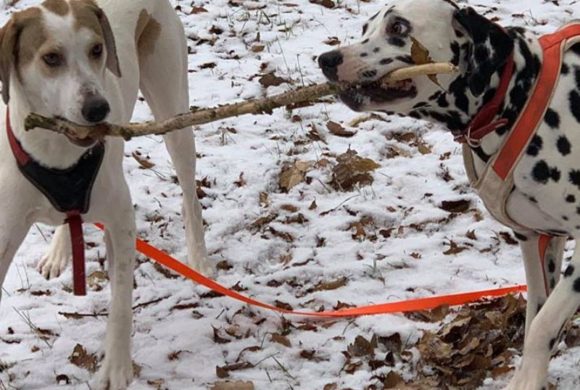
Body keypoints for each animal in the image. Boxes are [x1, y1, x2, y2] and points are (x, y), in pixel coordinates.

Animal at [0, 0, 213, 386]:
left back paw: (199, 257)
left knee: (190, 194)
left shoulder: (121, 221)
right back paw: (59, 250)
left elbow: (120, 305)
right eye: (51, 58)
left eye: (97, 49)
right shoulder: (5, 230)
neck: (58, 154)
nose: (98, 109)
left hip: (174, 109)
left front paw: (116, 368)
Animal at [320, 0, 580, 388]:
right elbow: (537, 315)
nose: (327, 59)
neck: (516, 96)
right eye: (365, 28)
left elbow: (543, 325)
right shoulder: (535, 239)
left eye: (398, 27)